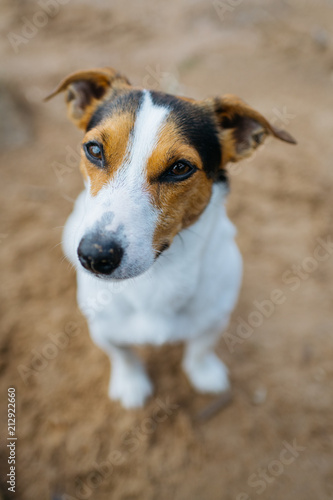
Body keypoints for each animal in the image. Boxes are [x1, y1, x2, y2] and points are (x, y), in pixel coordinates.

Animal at [45, 66, 294, 408]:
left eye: (179, 168)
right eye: (94, 150)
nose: (95, 255)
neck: (157, 276)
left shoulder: (215, 319)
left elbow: (200, 348)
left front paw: (204, 373)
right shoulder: (103, 328)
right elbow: (123, 355)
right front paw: (131, 383)